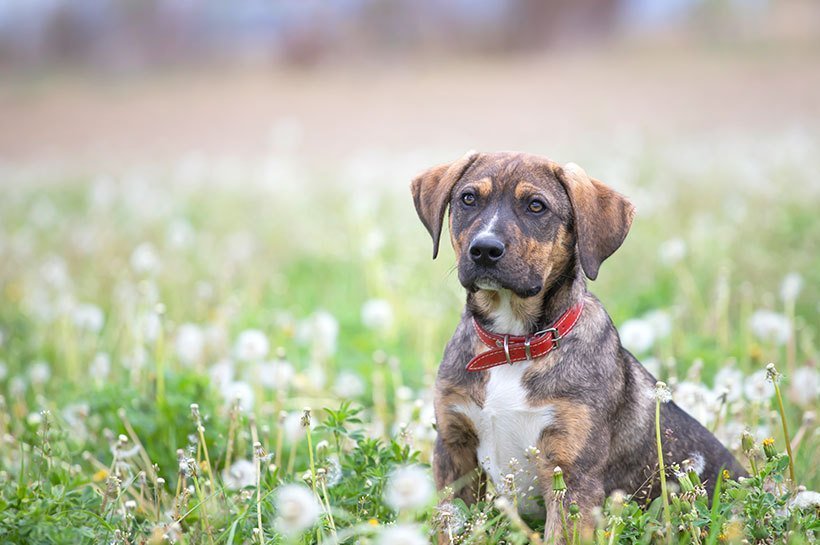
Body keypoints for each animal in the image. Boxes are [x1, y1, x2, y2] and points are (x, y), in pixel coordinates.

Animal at [410, 151, 744, 540]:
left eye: (536, 206)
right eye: (467, 199)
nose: (484, 249)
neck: (514, 344)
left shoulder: (571, 474)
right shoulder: (454, 452)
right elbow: (448, 526)